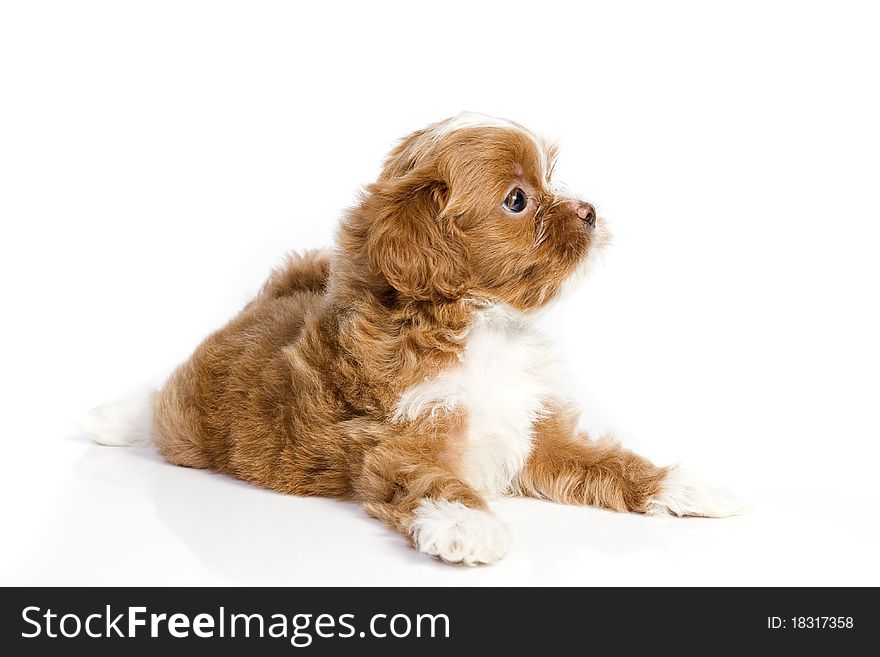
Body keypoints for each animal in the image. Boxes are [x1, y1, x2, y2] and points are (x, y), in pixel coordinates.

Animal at [82, 113, 744, 564]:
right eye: (517, 200)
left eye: (552, 178)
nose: (590, 212)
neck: (483, 326)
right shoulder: (396, 441)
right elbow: (431, 481)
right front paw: (468, 526)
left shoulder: (535, 431)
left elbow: (606, 461)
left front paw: (682, 483)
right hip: (192, 421)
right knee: (162, 408)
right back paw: (109, 419)